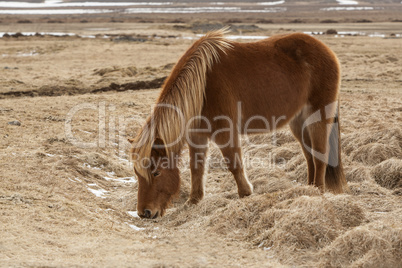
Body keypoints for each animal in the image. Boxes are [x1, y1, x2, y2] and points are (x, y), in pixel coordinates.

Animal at [130, 28, 348, 218]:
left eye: (156, 173)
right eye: (138, 174)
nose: (144, 213)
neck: (202, 87)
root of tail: (327, 51)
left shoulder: (225, 132)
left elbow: (234, 164)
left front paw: (246, 193)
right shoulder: (197, 136)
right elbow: (196, 168)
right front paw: (194, 200)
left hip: (317, 118)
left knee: (320, 155)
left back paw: (318, 191)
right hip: (298, 122)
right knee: (309, 155)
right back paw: (308, 189)